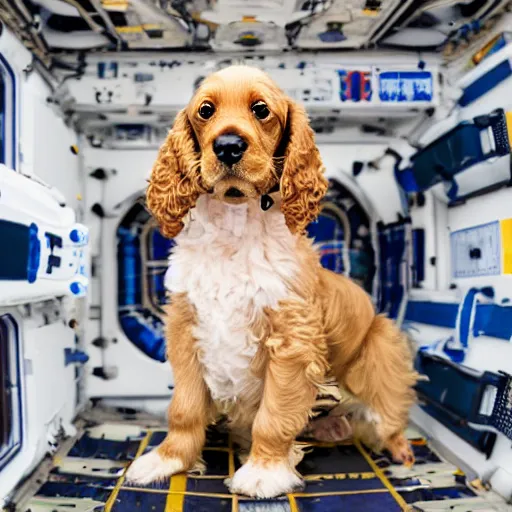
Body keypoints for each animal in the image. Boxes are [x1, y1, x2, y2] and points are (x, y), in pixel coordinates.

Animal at [126, 65, 418, 500]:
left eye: (261, 110)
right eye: (206, 111)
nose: (228, 146)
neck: (234, 224)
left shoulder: (292, 339)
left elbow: (275, 415)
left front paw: (264, 471)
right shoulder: (186, 329)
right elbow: (184, 409)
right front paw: (167, 459)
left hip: (379, 354)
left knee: (389, 412)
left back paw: (398, 448)